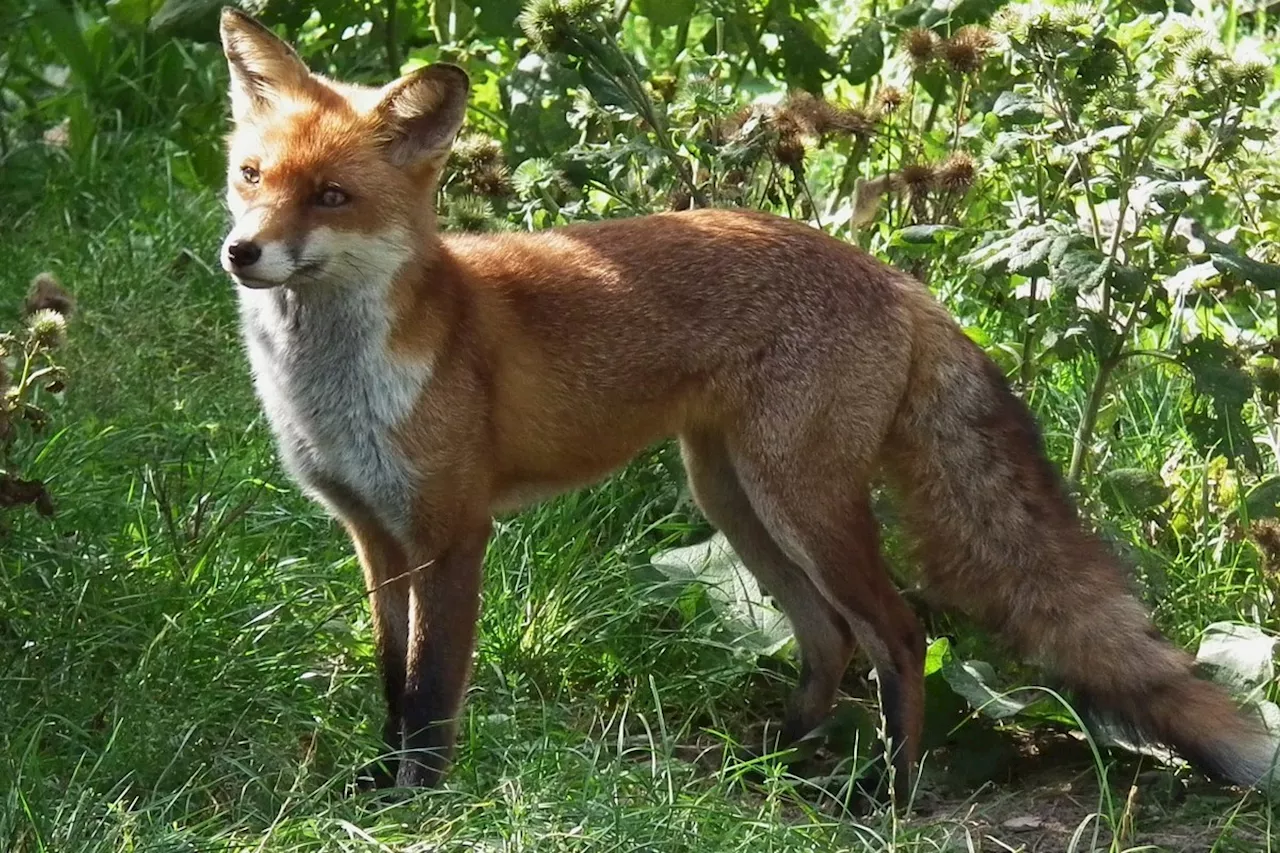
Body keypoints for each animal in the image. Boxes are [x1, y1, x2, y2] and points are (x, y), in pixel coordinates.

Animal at [215, 8, 1274, 799]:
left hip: (797, 500)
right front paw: (375, 782)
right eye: (251, 176)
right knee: (828, 635)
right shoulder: (375, 536)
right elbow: (392, 679)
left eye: (333, 196)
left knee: (900, 633)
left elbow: (432, 690)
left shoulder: (452, 531)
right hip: (734, 499)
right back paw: (781, 762)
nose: (241, 252)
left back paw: (885, 795)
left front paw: (420, 801)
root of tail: (899, 279)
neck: (335, 383)